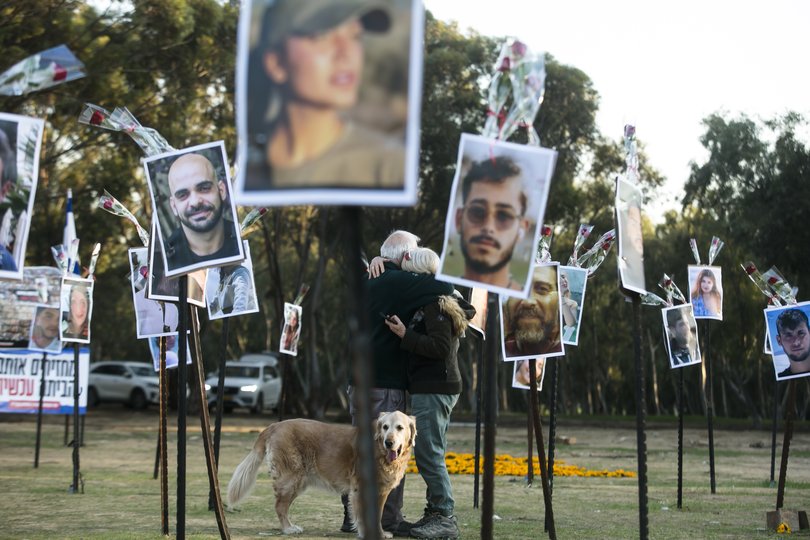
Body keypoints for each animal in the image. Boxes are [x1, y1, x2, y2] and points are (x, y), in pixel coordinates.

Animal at [227, 412, 416, 536]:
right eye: (385, 427)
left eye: (400, 428)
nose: (389, 442)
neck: (379, 451)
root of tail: (274, 425)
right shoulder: (360, 489)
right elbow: (364, 517)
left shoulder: (382, 492)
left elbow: (377, 516)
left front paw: (380, 533)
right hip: (292, 479)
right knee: (280, 506)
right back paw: (288, 528)